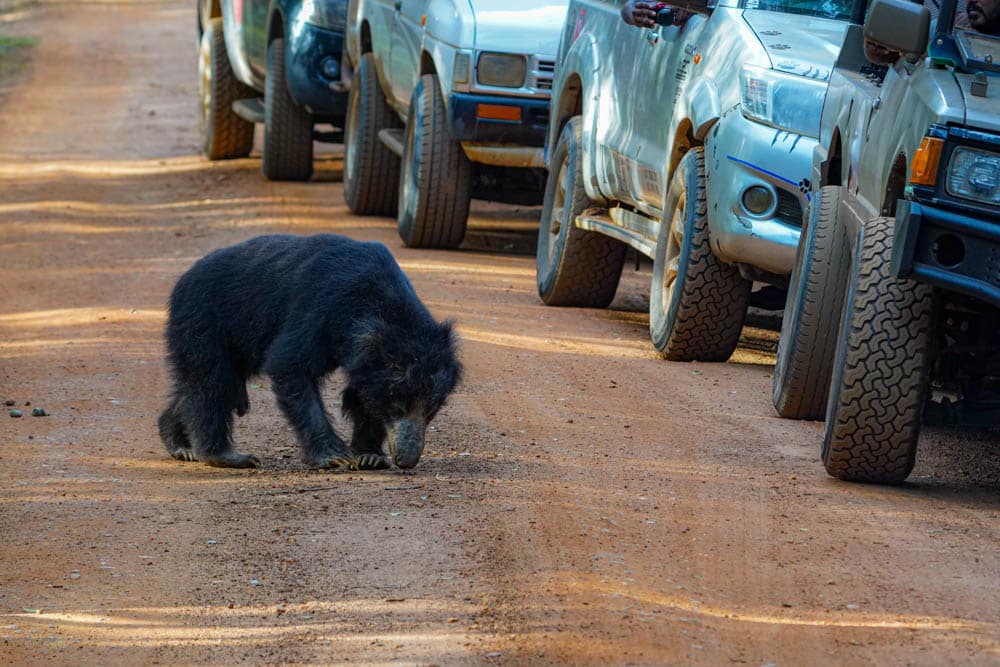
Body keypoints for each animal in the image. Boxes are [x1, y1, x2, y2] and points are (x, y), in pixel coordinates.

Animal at [158, 234, 462, 470]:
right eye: (398, 405)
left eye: (431, 410)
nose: (407, 459)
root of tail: (183, 279)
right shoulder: (318, 309)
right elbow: (289, 365)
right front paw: (335, 456)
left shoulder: (365, 360)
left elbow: (362, 395)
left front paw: (370, 456)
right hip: (204, 320)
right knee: (211, 382)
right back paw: (226, 456)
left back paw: (181, 445)